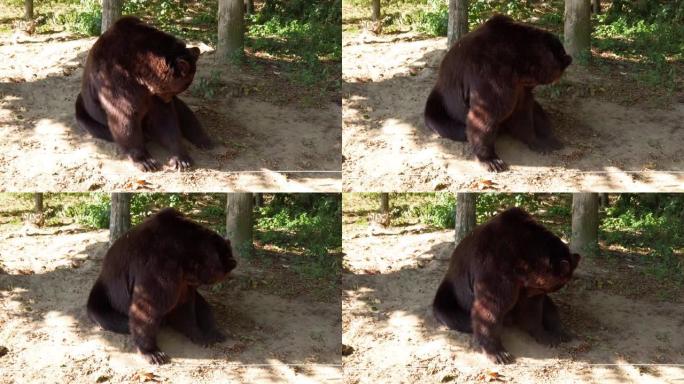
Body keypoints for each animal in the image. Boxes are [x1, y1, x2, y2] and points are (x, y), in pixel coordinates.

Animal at [74, 17, 214, 171]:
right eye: (182, 86)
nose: (169, 99)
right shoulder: (116, 81)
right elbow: (125, 117)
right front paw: (146, 161)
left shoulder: (152, 96)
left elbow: (165, 120)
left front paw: (181, 159)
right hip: (86, 111)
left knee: (185, 113)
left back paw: (205, 140)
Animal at [87, 208, 236, 364]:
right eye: (227, 255)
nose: (234, 262)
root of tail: (102, 274)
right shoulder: (159, 267)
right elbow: (147, 308)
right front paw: (154, 353)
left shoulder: (182, 282)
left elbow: (185, 306)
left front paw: (200, 336)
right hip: (108, 297)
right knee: (113, 319)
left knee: (203, 306)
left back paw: (216, 333)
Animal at [422, 15, 572, 171]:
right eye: (561, 52)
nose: (569, 58)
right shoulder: (490, 75)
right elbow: (486, 116)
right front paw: (492, 161)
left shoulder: (520, 87)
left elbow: (524, 112)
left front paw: (539, 141)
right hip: (442, 106)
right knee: (452, 128)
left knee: (539, 113)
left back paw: (553, 140)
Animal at [432, 208, 576, 364]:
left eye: (547, 288)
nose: (532, 293)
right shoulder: (495, 266)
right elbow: (490, 308)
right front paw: (499, 354)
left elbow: (533, 310)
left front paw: (546, 336)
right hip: (452, 292)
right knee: (453, 315)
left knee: (550, 308)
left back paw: (562, 332)